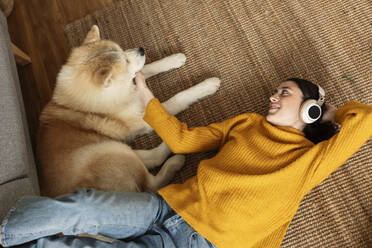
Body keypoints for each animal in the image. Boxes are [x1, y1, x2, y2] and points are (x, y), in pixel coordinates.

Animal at [36, 24, 219, 197]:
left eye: (122, 49)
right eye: (125, 61)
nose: (141, 49)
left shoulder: (134, 83)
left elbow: (148, 68)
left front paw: (174, 59)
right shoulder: (144, 118)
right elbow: (177, 99)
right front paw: (207, 86)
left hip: (114, 146)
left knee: (150, 160)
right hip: (108, 150)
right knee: (152, 183)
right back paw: (176, 150)